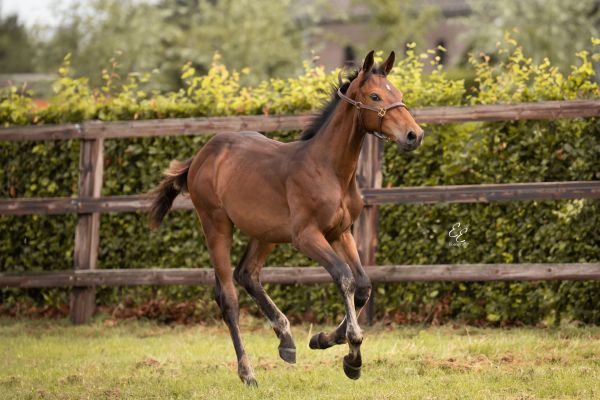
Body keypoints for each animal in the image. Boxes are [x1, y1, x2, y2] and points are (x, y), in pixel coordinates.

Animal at [149, 50, 422, 384]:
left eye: (399, 94)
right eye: (375, 96)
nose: (414, 135)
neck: (330, 169)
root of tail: (202, 155)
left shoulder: (341, 232)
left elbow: (362, 286)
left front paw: (324, 340)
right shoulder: (306, 236)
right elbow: (343, 277)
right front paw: (353, 354)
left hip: (265, 232)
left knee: (247, 273)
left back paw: (287, 341)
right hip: (216, 224)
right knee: (228, 297)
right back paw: (247, 372)